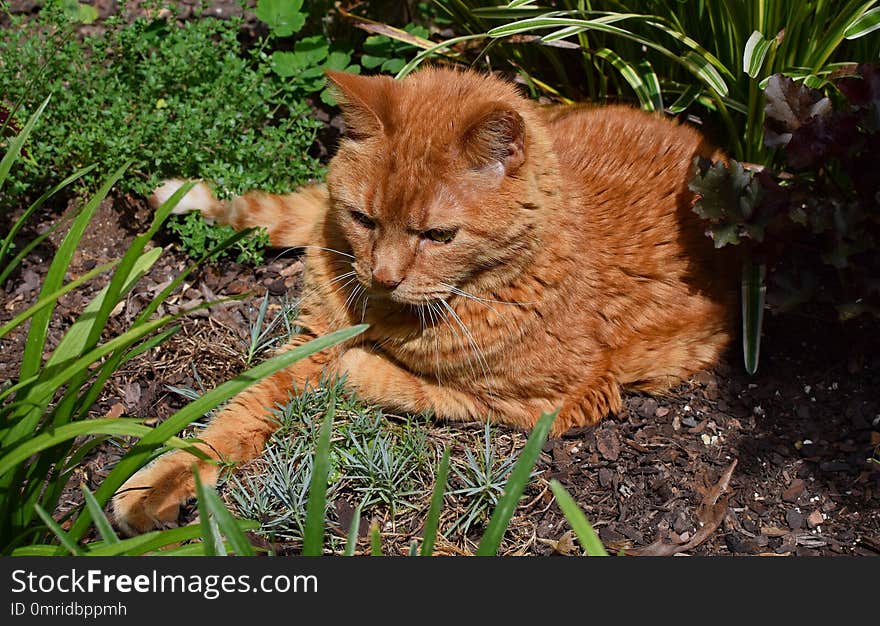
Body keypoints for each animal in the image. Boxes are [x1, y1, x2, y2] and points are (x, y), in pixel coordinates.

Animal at [113, 67, 732, 532]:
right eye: (364, 219)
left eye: (438, 235)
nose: (383, 275)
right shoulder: (313, 332)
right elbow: (237, 413)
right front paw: (158, 485)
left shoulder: (554, 403)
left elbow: (403, 383)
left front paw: (353, 368)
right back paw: (184, 199)